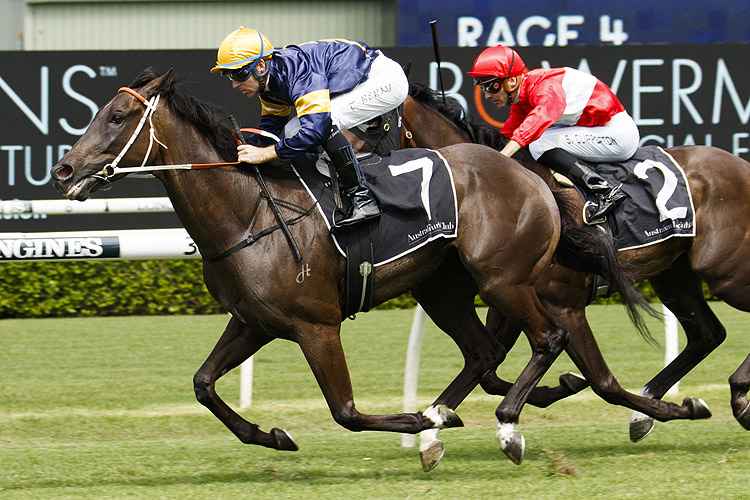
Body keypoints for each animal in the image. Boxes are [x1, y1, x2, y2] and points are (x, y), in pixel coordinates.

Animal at [48, 68, 648, 470]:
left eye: (117, 116)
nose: (64, 170)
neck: (248, 212)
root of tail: (530, 174)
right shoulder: (254, 322)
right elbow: (202, 384)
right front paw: (272, 435)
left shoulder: (316, 325)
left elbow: (346, 412)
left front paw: (416, 423)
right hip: (444, 290)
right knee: (485, 351)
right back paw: (452, 415)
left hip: (501, 279)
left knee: (547, 338)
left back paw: (503, 427)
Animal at [406, 82, 750, 446]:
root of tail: (741, 164)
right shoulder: (509, 296)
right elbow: (490, 369)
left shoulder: (563, 304)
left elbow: (602, 381)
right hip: (674, 275)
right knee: (707, 334)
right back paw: (653, 405)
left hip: (725, 272)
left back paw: (738, 393)